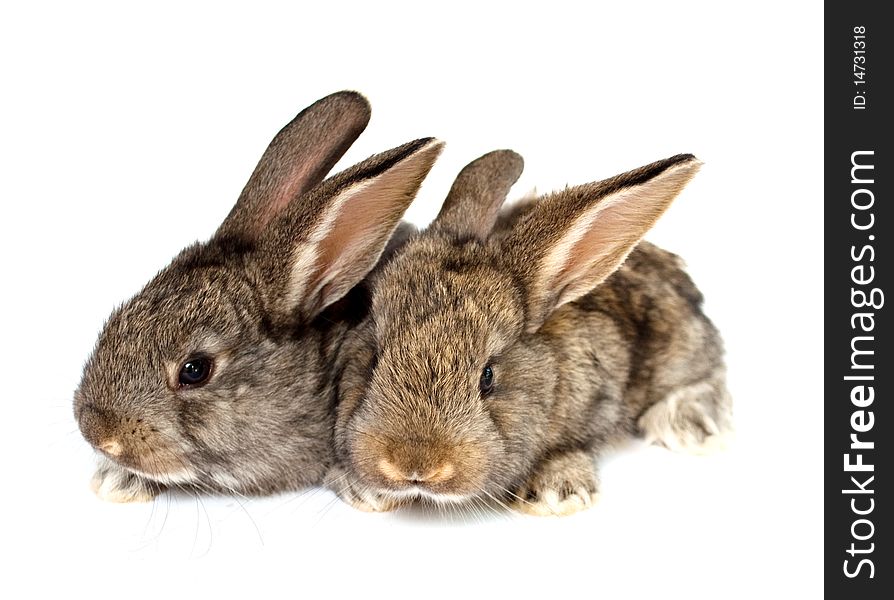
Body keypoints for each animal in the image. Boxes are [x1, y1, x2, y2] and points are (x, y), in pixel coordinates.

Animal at [328, 149, 736, 516]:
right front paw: (362, 491)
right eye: (374, 359)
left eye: (488, 377)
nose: (415, 468)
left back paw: (691, 426)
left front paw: (556, 492)